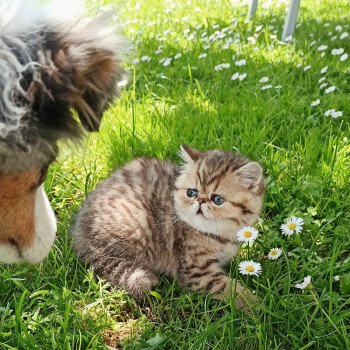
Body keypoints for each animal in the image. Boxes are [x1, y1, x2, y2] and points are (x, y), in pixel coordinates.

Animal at [72, 146, 264, 310]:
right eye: (191, 192)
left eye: (218, 200)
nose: (200, 200)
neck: (219, 234)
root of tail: (80, 233)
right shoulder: (196, 272)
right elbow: (231, 289)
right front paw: (259, 306)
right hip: (135, 222)